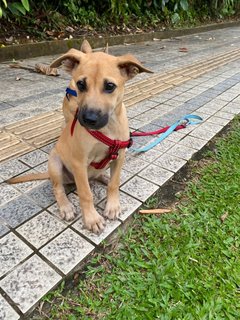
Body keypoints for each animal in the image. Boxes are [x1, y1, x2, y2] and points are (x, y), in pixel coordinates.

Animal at [9, 41, 153, 234]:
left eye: (110, 86)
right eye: (80, 84)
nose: (89, 119)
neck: (106, 130)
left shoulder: (119, 155)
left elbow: (114, 183)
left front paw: (113, 205)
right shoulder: (79, 163)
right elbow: (85, 193)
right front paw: (92, 219)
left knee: (99, 176)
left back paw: (104, 177)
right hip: (55, 163)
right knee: (58, 188)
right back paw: (66, 206)